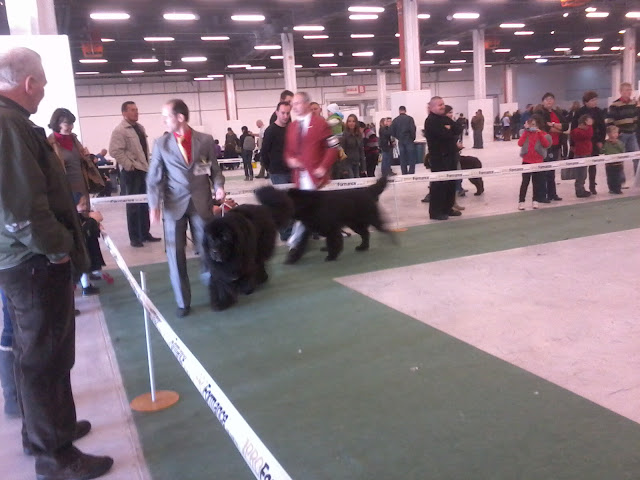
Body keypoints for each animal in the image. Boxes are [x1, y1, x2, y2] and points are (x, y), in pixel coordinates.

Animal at [257, 176, 392, 263]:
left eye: (279, 203)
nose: (270, 215)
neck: (308, 205)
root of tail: (368, 190)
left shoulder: (331, 229)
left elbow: (333, 242)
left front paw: (331, 256)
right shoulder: (309, 228)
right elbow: (301, 245)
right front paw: (293, 258)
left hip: (371, 218)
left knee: (382, 228)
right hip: (355, 223)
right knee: (365, 233)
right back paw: (362, 247)